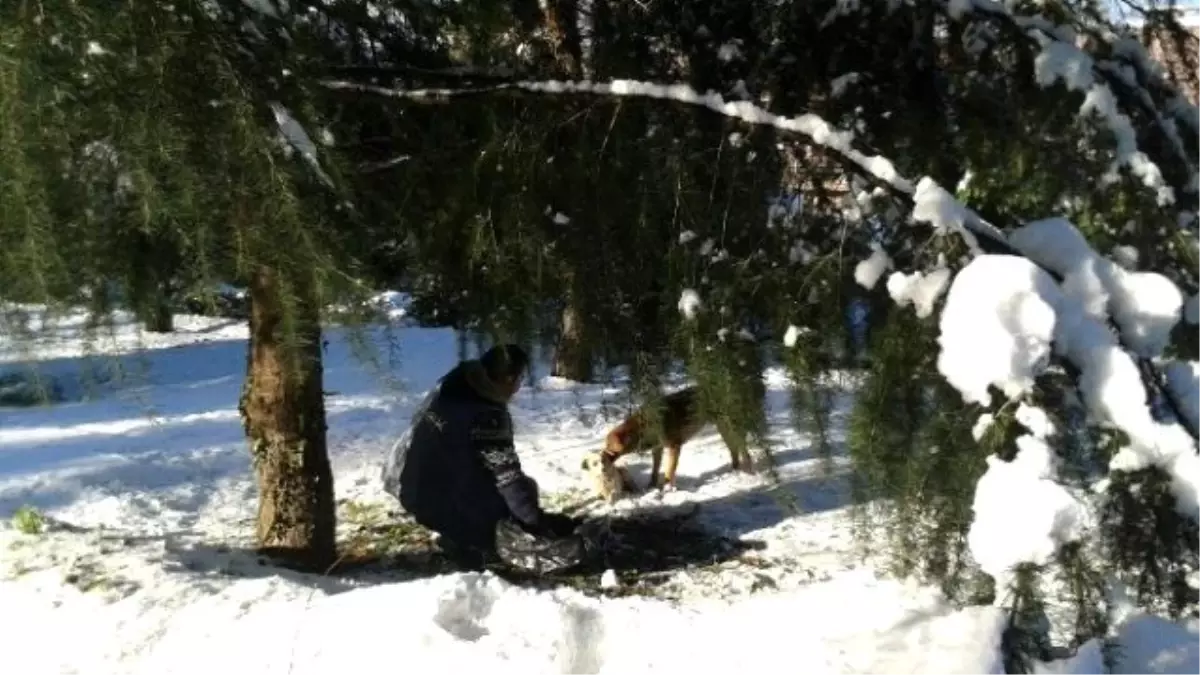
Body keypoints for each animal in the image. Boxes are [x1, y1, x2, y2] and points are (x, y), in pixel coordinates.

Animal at [585, 386, 753, 492]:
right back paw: (735, 469)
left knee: (743, 450)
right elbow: (654, 469)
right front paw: (652, 485)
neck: (644, 428)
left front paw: (667, 488)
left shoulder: (674, 446)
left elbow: (669, 470)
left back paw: (748, 470)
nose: (601, 455)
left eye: (608, 446)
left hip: (728, 426)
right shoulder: (658, 448)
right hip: (723, 429)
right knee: (734, 449)